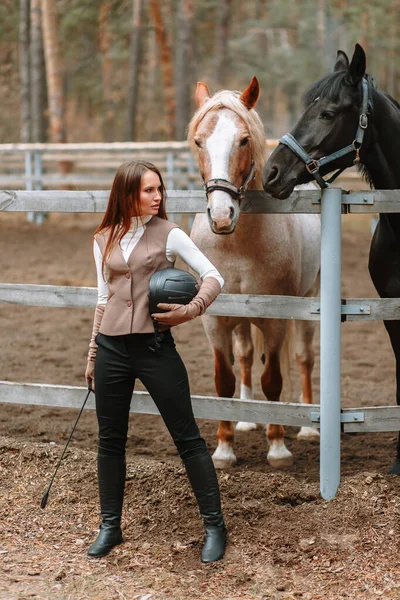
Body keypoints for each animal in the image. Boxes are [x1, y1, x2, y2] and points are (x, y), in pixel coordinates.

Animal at [188, 76, 322, 468]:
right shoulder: (215, 319)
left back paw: (307, 428)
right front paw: (224, 448)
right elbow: (224, 380)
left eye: (244, 140)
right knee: (246, 356)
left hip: (310, 300)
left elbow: (273, 379)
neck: (239, 244)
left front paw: (277, 447)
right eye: (199, 141)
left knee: (304, 359)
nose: (221, 216)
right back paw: (247, 419)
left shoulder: (275, 320)